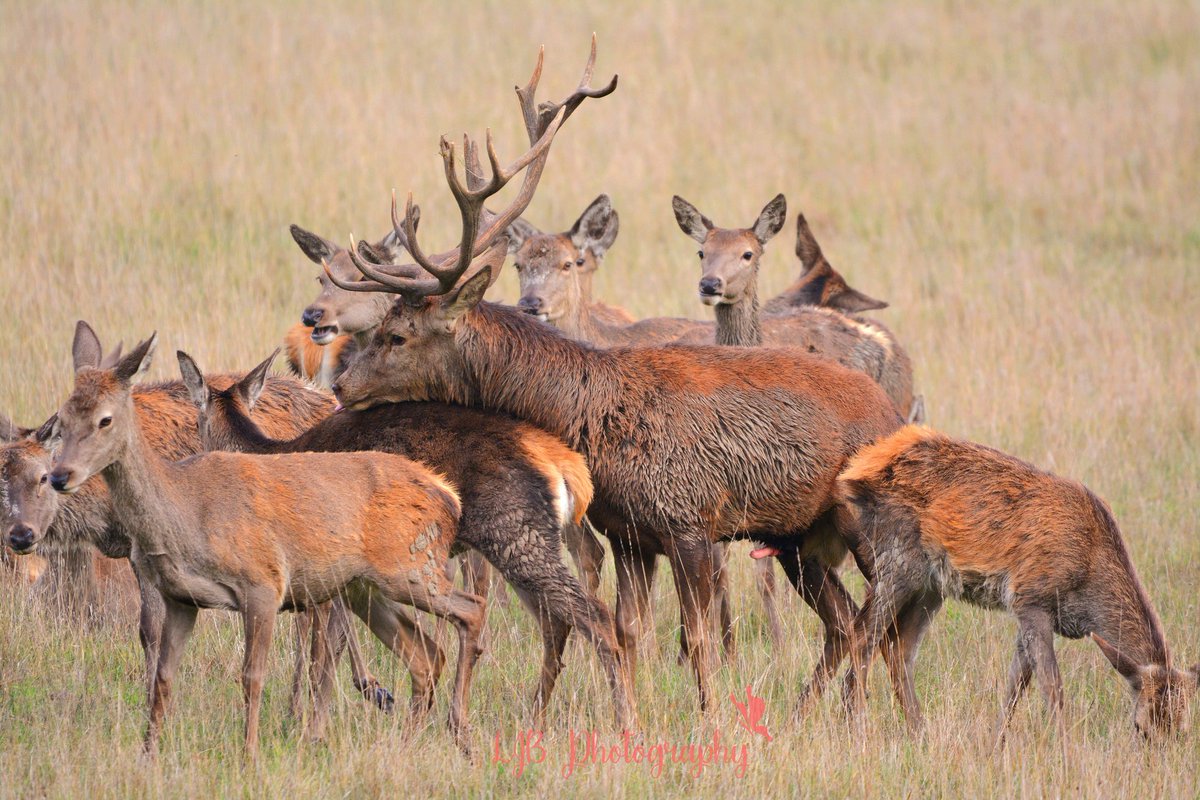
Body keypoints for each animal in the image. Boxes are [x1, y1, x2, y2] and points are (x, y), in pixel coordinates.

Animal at [48, 331, 485, 759]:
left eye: (105, 419)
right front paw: (149, 755)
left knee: (471, 609)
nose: (59, 476)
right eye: (61, 420)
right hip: (366, 588)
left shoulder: (264, 585)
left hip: (409, 569)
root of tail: (447, 494)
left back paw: (457, 730)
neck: (184, 511)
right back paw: (406, 743)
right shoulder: (182, 598)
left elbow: (255, 675)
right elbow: (163, 677)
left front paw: (252, 753)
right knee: (425, 654)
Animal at [180, 348, 634, 731]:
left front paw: (313, 724)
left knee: (593, 616)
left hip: (516, 534)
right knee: (555, 622)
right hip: (524, 542)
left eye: (197, 419)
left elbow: (323, 649)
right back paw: (533, 714)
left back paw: (624, 720)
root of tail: (568, 466)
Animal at [323, 37, 905, 713]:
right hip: (796, 536)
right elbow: (628, 631)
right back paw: (818, 709)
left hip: (862, 524)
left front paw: (708, 718)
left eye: (399, 333)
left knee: (882, 618)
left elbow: (697, 641)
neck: (592, 415)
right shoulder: (629, 533)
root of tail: (896, 410)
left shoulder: (690, 522)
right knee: (844, 622)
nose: (341, 386)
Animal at [830, 425, 1198, 740]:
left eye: (1182, 730)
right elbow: (1052, 687)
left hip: (932, 587)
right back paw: (857, 728)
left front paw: (995, 745)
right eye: (1140, 726)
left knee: (899, 647)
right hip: (898, 561)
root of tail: (857, 471)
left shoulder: (1027, 609)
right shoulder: (1033, 598)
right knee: (861, 634)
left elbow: (1015, 685)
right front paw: (1066, 752)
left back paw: (920, 732)